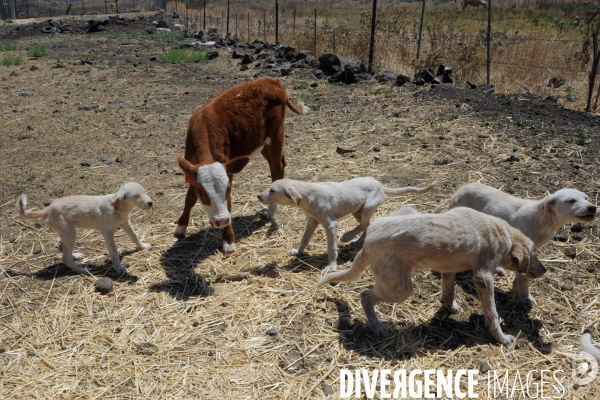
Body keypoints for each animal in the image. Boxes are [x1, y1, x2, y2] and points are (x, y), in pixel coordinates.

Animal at [16, 182, 154, 274]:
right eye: (136, 196)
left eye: (145, 192)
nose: (150, 203)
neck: (117, 207)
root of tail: (48, 209)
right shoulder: (107, 232)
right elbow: (114, 252)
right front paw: (119, 268)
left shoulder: (126, 223)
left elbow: (135, 237)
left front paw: (142, 246)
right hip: (70, 232)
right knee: (65, 258)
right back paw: (82, 270)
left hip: (66, 232)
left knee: (62, 248)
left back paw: (75, 256)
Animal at [173, 78, 304, 253]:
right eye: (201, 192)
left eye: (227, 188)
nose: (222, 221)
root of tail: (272, 81)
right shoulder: (192, 168)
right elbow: (189, 198)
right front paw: (181, 227)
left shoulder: (228, 172)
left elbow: (228, 204)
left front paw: (228, 241)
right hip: (260, 141)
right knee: (280, 164)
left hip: (276, 134)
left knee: (276, 168)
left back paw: (272, 212)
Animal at [255, 177, 434, 272]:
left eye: (272, 191)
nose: (258, 196)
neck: (307, 196)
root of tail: (380, 185)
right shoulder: (312, 221)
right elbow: (304, 239)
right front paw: (298, 252)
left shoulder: (331, 224)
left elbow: (331, 247)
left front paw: (332, 265)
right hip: (358, 210)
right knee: (366, 225)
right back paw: (357, 240)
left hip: (367, 207)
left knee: (363, 225)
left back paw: (348, 237)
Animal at [316, 208, 548, 346]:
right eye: (534, 252)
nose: (545, 270)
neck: (504, 235)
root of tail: (367, 243)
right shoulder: (483, 277)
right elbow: (492, 312)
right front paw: (502, 338)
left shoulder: (449, 268)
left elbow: (448, 291)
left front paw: (448, 307)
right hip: (400, 288)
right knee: (365, 294)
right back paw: (377, 327)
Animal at [450, 183, 596, 308]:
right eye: (571, 200)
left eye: (586, 198)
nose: (593, 207)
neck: (544, 223)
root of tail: (461, 189)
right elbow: (524, 277)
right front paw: (526, 298)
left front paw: (517, 289)